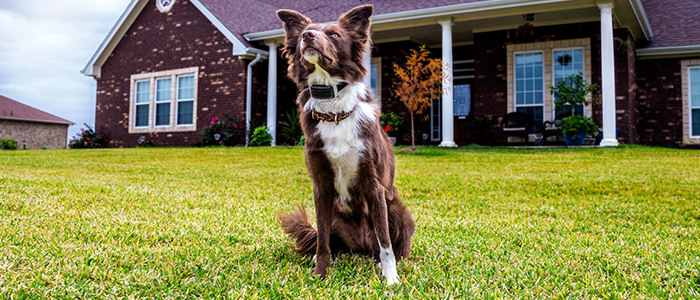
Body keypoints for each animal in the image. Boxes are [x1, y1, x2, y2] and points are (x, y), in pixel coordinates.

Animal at [274, 5, 416, 284]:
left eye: (334, 34)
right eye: (308, 31)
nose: (307, 36)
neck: (334, 111)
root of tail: (362, 246)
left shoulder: (374, 185)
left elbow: (385, 242)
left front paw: (391, 278)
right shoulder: (321, 187)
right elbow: (322, 241)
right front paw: (320, 274)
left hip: (397, 210)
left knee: (387, 243)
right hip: (336, 218)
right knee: (327, 238)